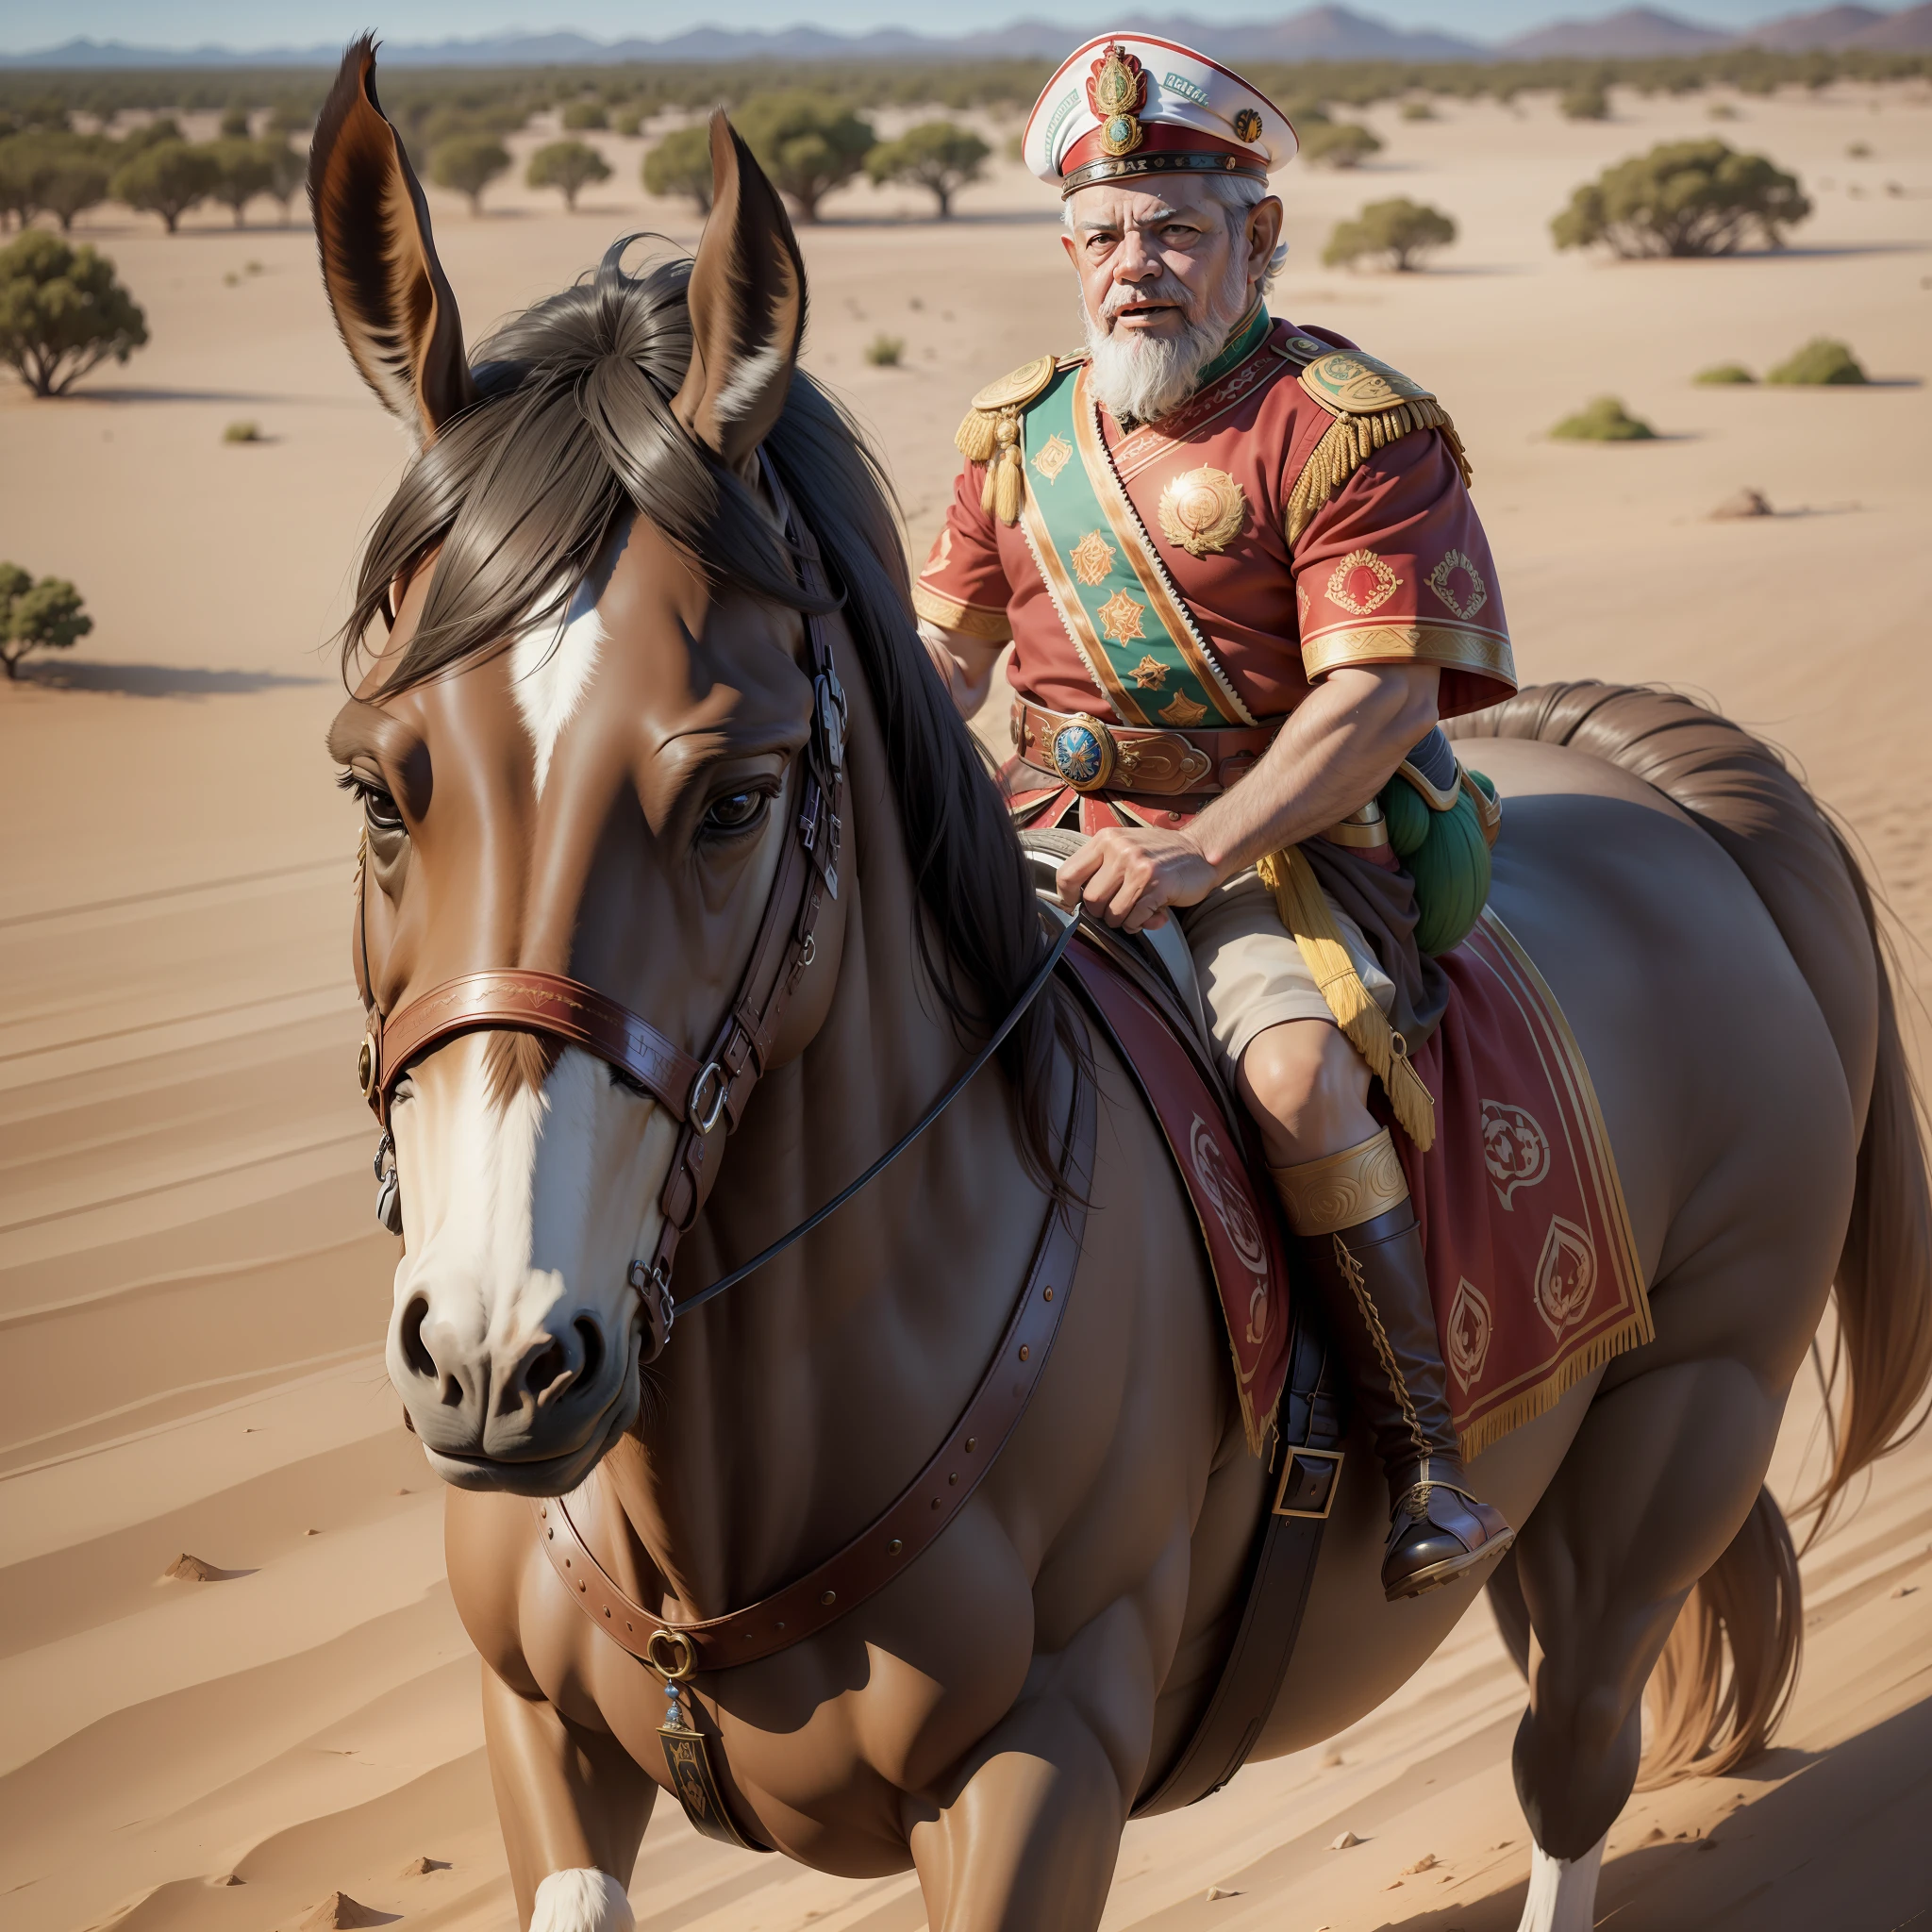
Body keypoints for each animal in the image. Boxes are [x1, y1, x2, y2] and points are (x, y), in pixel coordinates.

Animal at [312, 45, 1932, 1932]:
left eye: (734, 795)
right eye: (378, 787)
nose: (496, 1355)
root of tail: (1667, 794)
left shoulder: (1040, 1769)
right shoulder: (543, 1737)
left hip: (1680, 1423)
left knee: (1572, 1754)